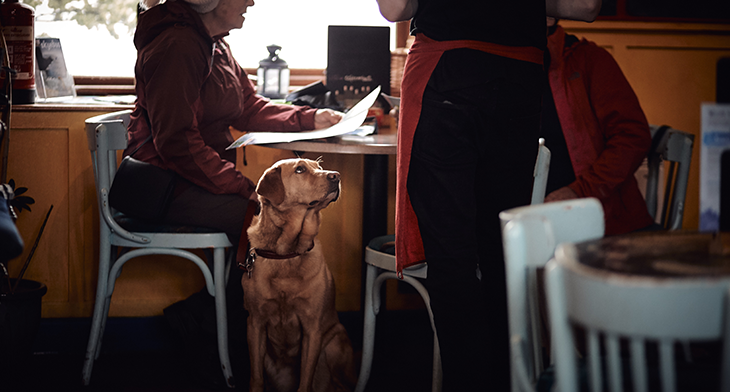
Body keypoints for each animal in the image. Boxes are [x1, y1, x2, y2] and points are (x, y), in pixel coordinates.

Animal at [242, 158, 356, 392]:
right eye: (300, 169)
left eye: (319, 168)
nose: (336, 176)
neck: (288, 252)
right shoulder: (255, 324)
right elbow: (256, 377)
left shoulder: (312, 328)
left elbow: (305, 380)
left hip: (334, 343)